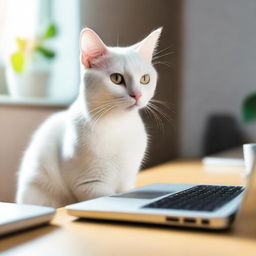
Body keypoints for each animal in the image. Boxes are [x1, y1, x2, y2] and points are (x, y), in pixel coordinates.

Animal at [15, 27, 162, 208]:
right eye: (116, 78)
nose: (137, 95)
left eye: (145, 79)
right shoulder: (90, 184)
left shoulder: (127, 181)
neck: (118, 125)